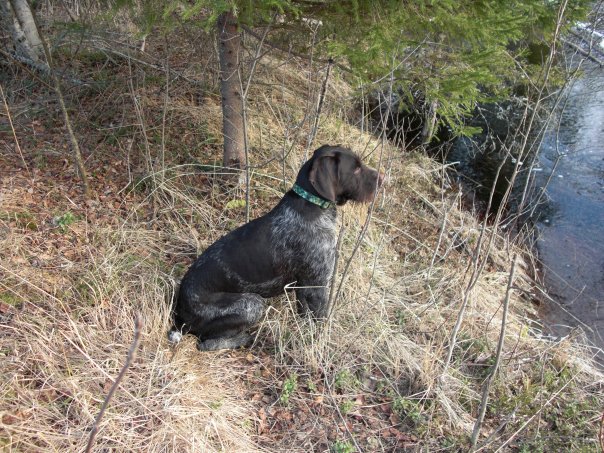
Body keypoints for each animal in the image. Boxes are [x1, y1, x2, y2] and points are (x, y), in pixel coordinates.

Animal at [169, 145, 383, 350]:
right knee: (205, 343)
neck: (313, 205)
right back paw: (244, 339)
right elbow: (320, 322)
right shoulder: (317, 285)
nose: (382, 179)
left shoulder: (303, 287)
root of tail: (180, 316)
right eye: (356, 168)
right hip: (252, 304)